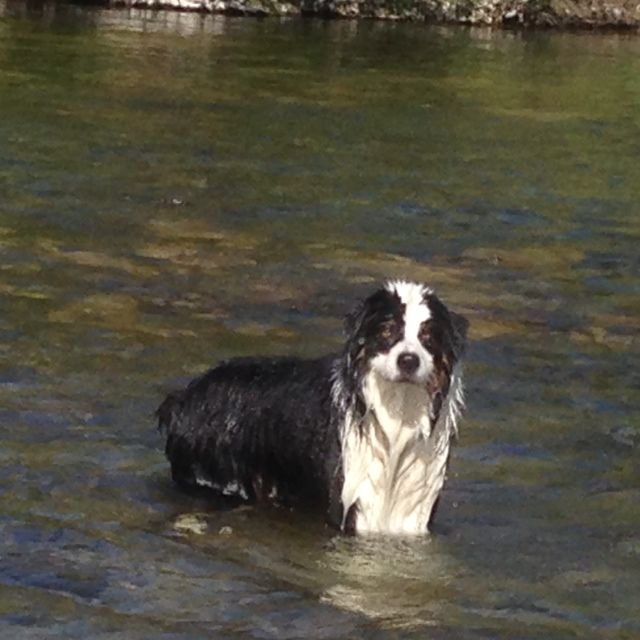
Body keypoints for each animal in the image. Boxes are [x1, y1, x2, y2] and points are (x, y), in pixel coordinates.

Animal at [158, 280, 468, 536]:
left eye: (428, 337)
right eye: (387, 331)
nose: (408, 360)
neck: (398, 414)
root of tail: (182, 398)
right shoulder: (350, 501)